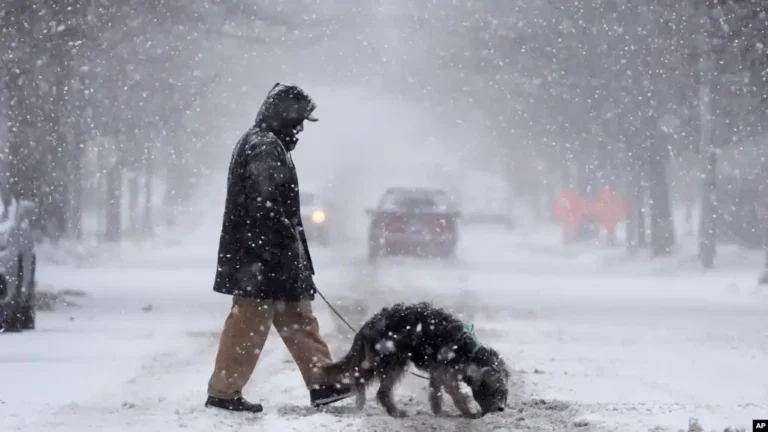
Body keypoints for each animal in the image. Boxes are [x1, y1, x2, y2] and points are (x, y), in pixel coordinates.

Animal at [318, 302, 510, 416]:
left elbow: (435, 392)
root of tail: (367, 325)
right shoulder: (447, 374)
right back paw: (394, 411)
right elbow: (457, 395)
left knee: (361, 377)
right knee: (380, 390)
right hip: (392, 361)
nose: (500, 408)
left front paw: (438, 412)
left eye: (504, 393)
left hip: (378, 360)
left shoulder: (437, 372)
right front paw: (469, 413)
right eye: (495, 391)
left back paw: (360, 400)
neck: (469, 352)